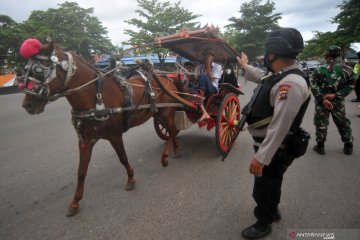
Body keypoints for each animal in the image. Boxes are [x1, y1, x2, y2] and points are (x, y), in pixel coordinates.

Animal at [18, 38, 195, 217]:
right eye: (25, 71)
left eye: (40, 69)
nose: (28, 105)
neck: (96, 98)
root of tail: (168, 79)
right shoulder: (85, 140)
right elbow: (81, 172)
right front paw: (75, 202)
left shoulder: (115, 135)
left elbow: (123, 158)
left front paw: (131, 179)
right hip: (159, 115)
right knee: (172, 131)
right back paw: (175, 149)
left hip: (165, 113)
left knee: (172, 131)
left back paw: (165, 157)